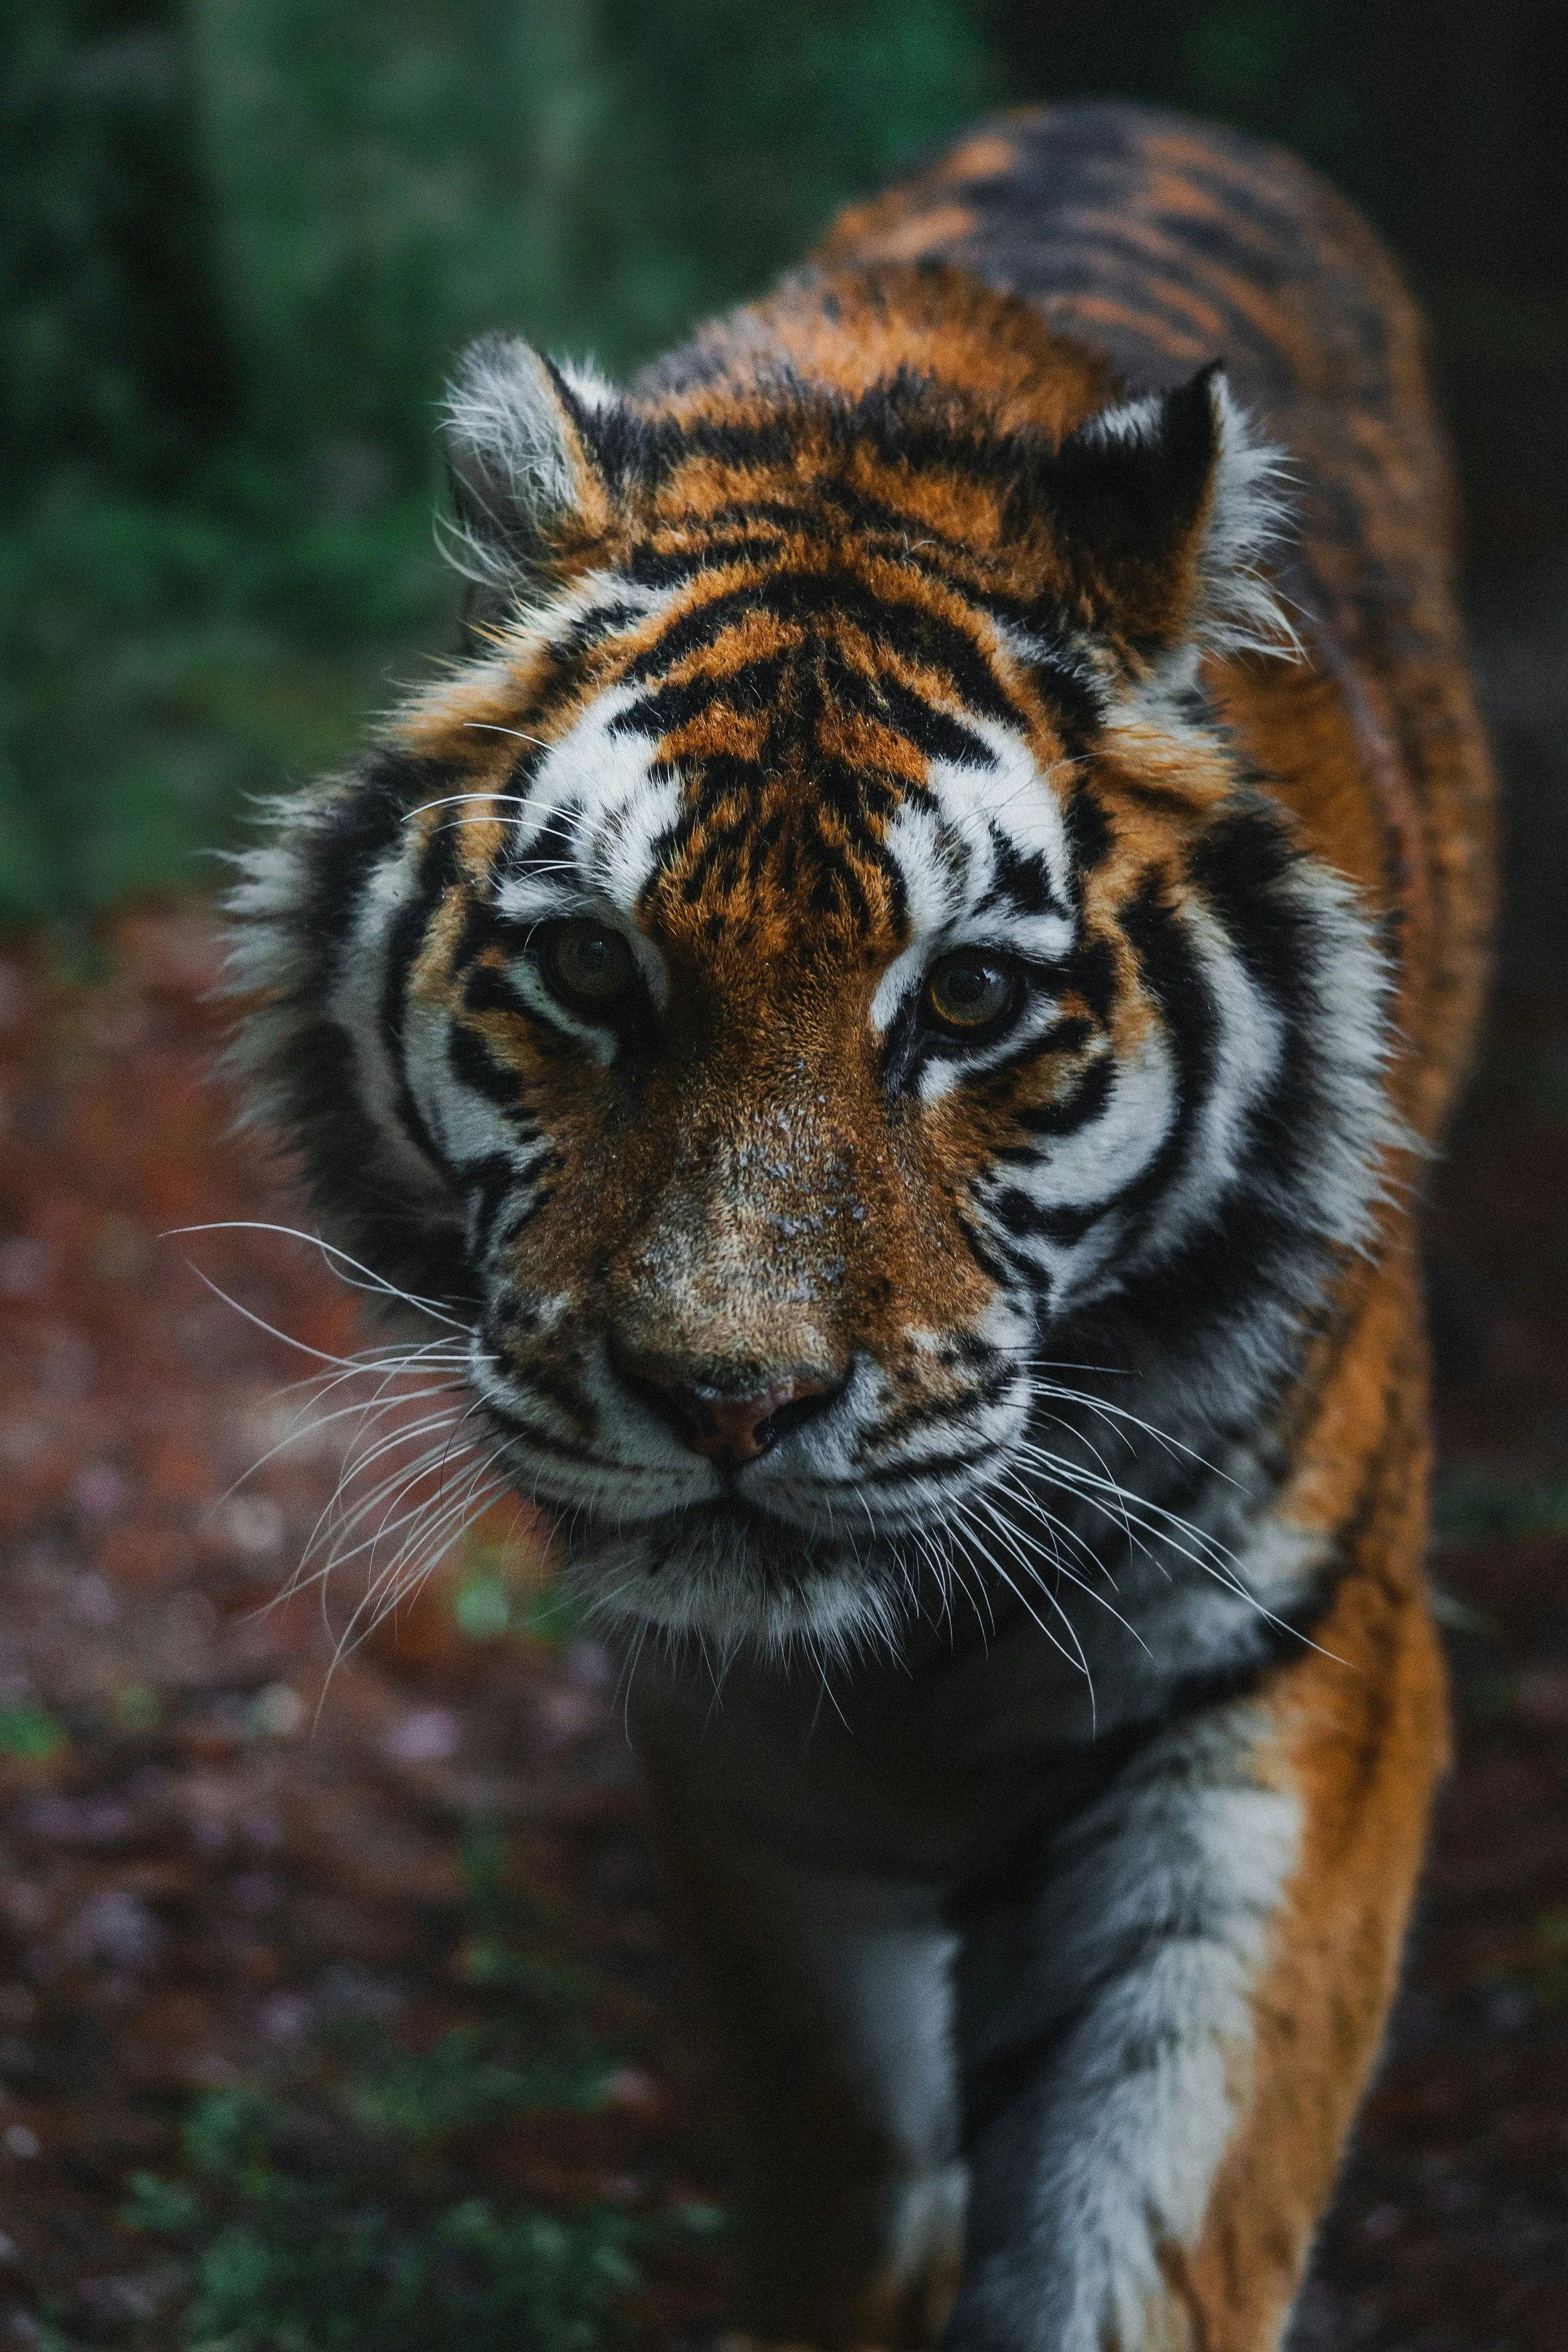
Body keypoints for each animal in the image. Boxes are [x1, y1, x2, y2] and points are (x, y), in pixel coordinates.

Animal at [230, 99, 1495, 2352]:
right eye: (589, 969)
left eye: (969, 1001)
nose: (728, 1402)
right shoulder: (746, 1755)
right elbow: (846, 2149)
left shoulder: (1285, 1692)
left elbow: (1153, 2215)